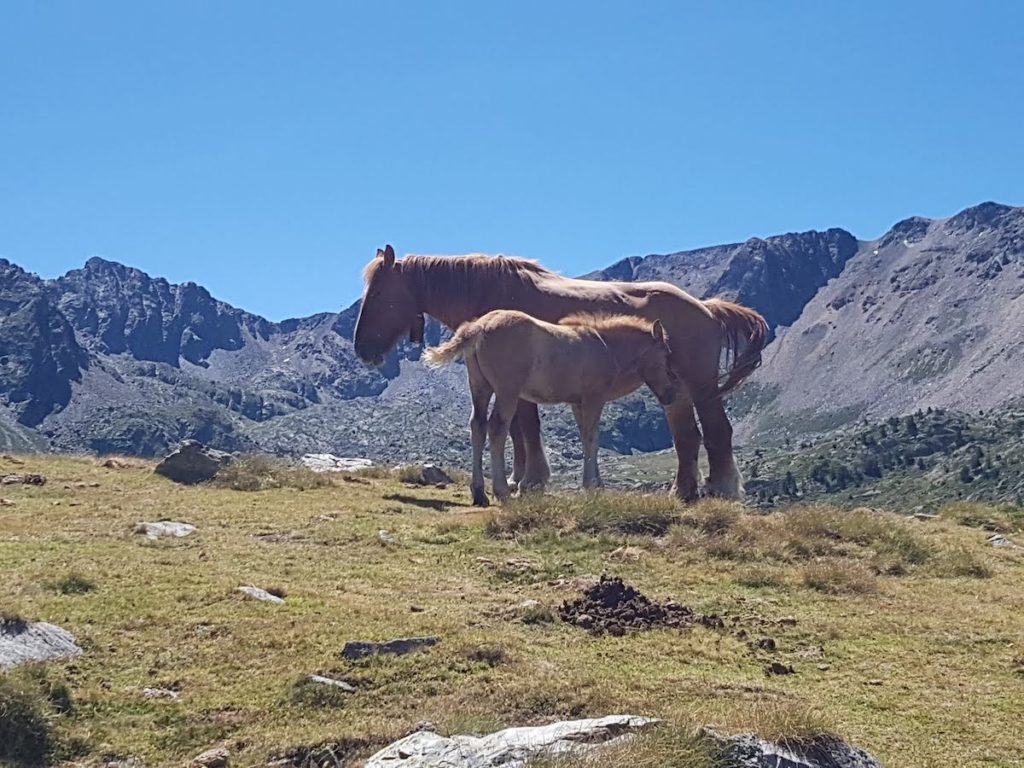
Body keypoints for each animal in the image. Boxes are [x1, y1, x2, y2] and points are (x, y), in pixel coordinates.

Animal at [423, 309, 679, 507]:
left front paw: (596, 483)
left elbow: (585, 437)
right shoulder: (593, 399)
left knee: (477, 426)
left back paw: (479, 493)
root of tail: (479, 326)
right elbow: (592, 437)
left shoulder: (577, 403)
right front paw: (591, 485)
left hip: (480, 388)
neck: (606, 347)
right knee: (497, 428)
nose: (671, 393)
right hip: (507, 391)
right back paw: (502, 491)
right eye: (666, 354)